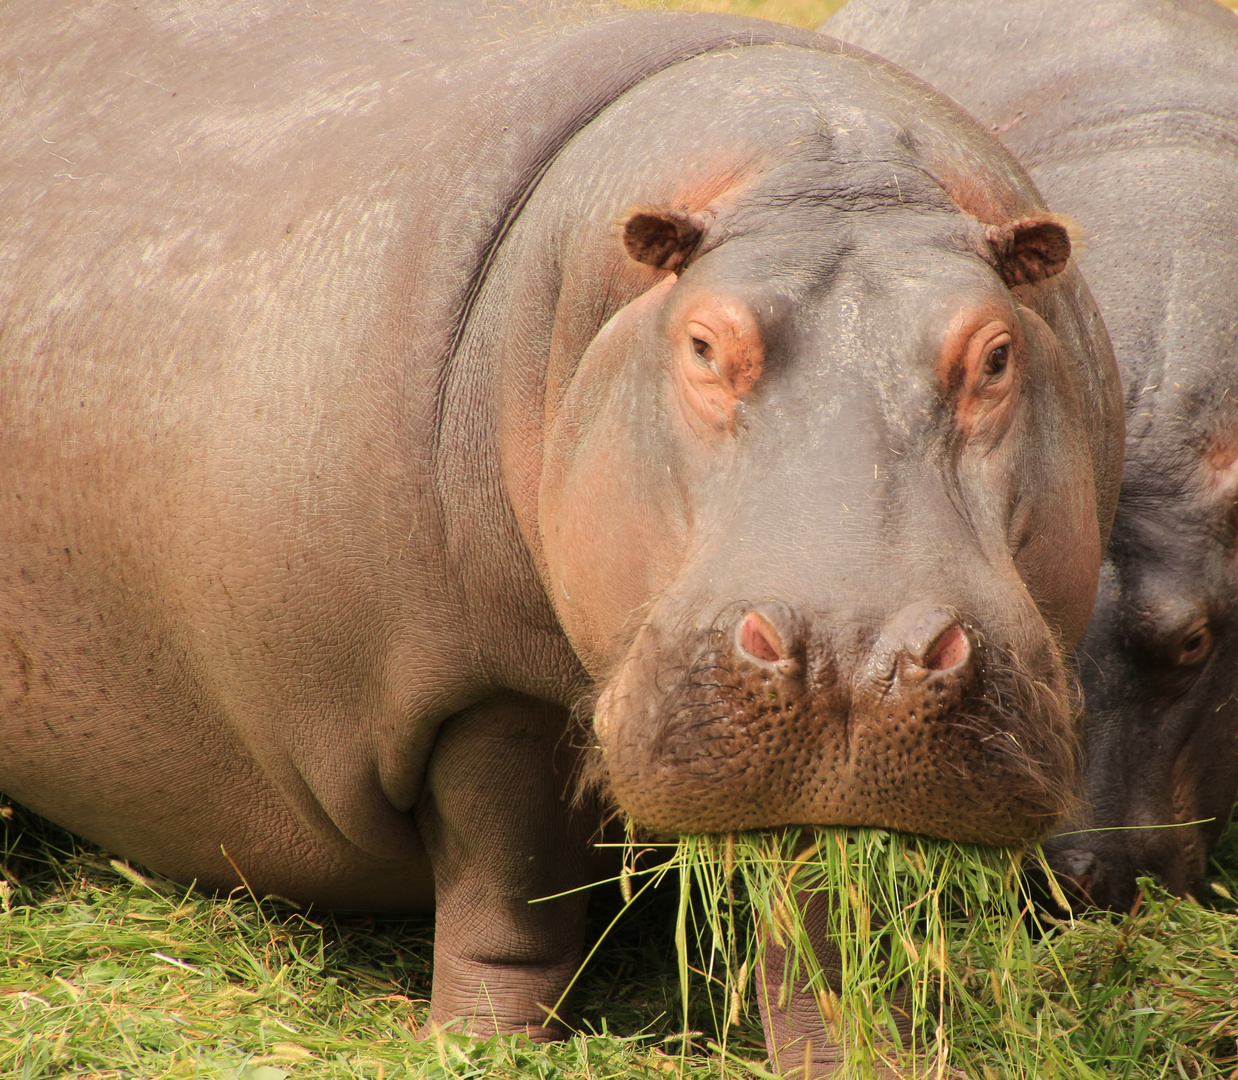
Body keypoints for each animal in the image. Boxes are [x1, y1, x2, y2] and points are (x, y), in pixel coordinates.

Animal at [0, 0, 1124, 1055]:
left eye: (995, 353)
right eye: (703, 343)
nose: (854, 656)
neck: (813, 168)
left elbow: (821, 930)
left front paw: (854, 1053)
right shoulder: (488, 690)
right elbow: (512, 888)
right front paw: (477, 1043)